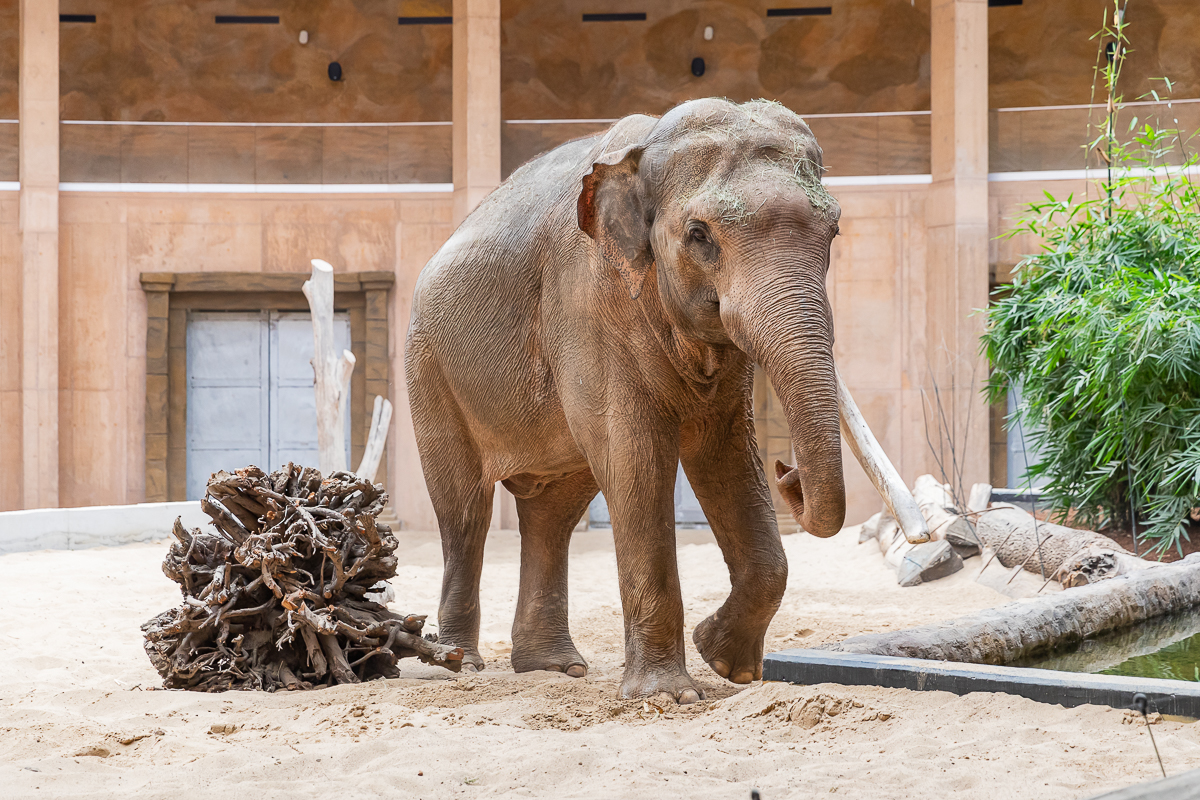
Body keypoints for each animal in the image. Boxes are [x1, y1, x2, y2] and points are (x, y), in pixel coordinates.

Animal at [403, 97, 926, 705]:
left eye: (835, 229)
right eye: (699, 235)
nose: (788, 474)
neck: (646, 151)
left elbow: (725, 454)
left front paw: (726, 664)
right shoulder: (588, 303)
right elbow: (635, 459)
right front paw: (669, 695)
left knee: (553, 512)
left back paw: (556, 668)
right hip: (429, 368)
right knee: (466, 511)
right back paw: (460, 664)